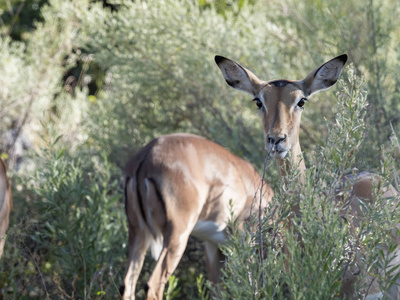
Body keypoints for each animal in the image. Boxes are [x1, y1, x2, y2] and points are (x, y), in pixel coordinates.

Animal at [122, 134, 272, 300]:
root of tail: (146, 156)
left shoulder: (213, 245)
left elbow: (217, 293)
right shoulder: (244, 238)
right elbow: (251, 285)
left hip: (138, 234)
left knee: (127, 285)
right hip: (177, 237)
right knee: (153, 285)